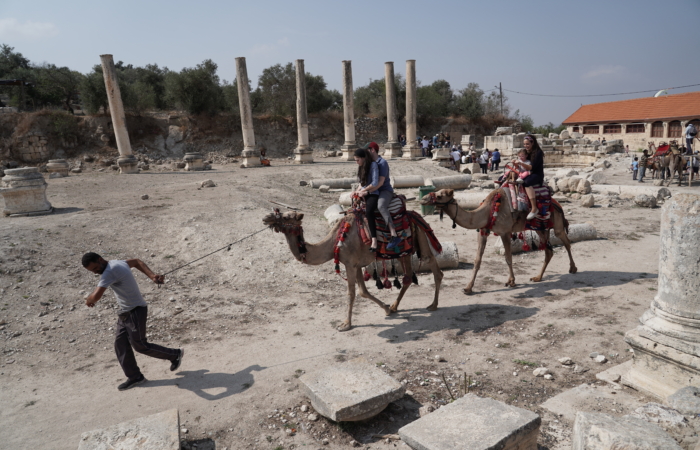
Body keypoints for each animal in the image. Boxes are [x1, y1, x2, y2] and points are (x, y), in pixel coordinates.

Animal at [262, 208, 442, 330]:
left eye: (286, 216)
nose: (266, 217)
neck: (334, 242)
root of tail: (416, 215)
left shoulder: (349, 263)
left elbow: (352, 293)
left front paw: (345, 324)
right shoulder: (356, 264)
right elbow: (363, 291)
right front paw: (386, 309)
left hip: (421, 239)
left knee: (434, 268)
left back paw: (433, 305)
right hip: (405, 252)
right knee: (408, 277)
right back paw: (394, 306)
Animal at [422, 187, 576, 296]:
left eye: (440, 195)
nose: (423, 199)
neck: (487, 211)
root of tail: (557, 203)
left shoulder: (505, 232)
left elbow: (508, 257)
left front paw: (512, 281)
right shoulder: (483, 231)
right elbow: (477, 260)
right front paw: (468, 288)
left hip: (556, 222)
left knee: (566, 241)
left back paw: (573, 268)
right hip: (540, 228)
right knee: (549, 250)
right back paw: (537, 277)